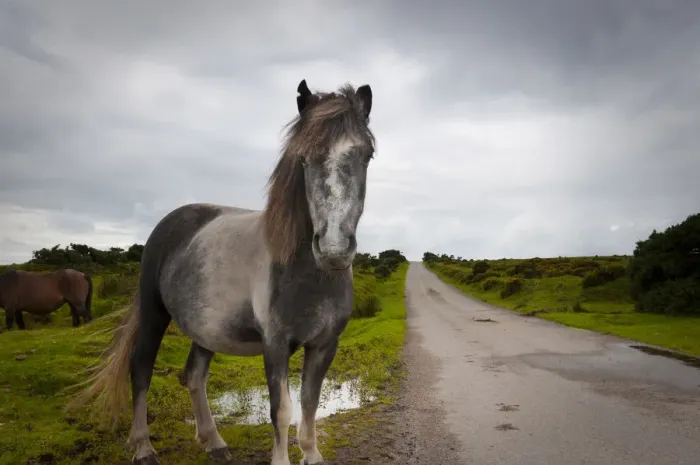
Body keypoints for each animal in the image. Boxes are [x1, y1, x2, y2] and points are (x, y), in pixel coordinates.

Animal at [71, 78, 375, 465]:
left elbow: (310, 404)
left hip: (205, 330)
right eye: (303, 158)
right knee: (140, 370)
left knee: (194, 376)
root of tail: (171, 223)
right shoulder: (275, 345)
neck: (309, 276)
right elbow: (282, 411)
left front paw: (312, 454)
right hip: (154, 313)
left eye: (367, 154)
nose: (334, 248)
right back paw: (143, 447)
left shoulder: (324, 345)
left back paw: (214, 441)